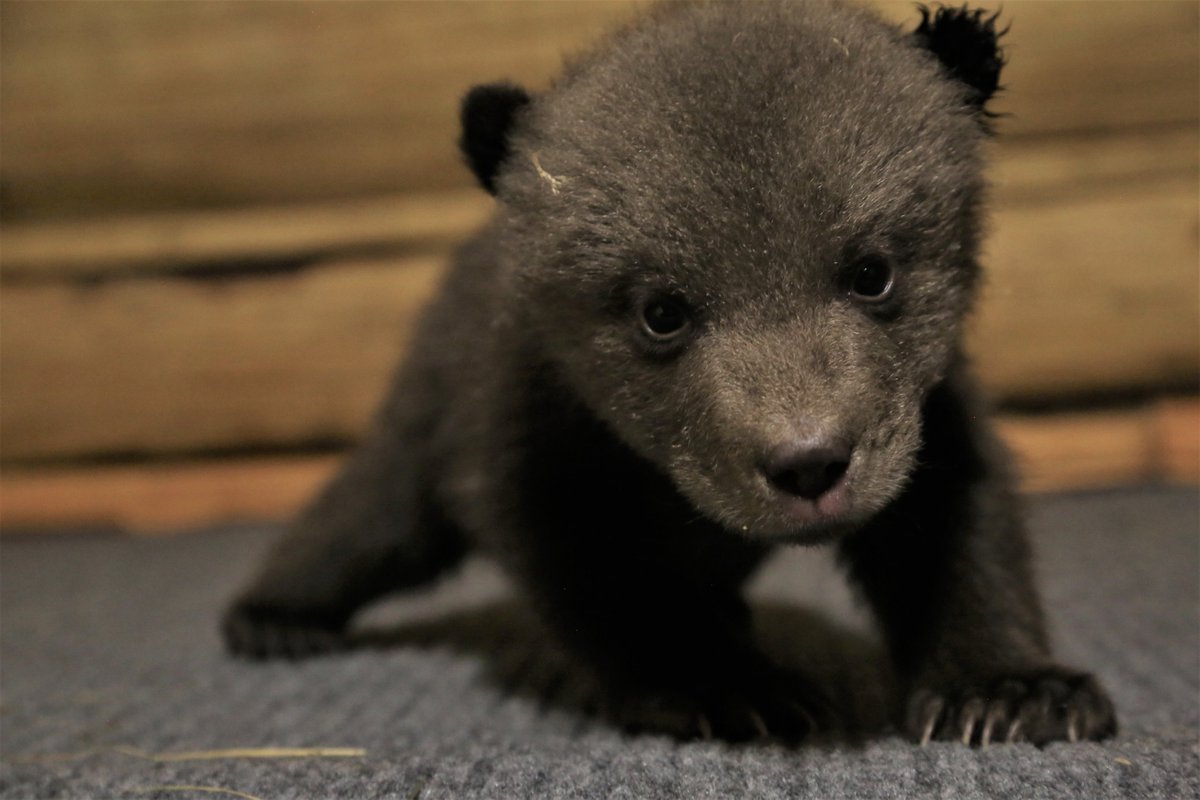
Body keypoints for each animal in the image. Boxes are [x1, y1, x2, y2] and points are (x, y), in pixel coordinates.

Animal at [224, 0, 1117, 746]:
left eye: (873, 273)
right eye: (662, 311)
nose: (809, 464)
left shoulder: (921, 412)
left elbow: (957, 528)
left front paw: (1011, 690)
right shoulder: (539, 430)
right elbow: (608, 578)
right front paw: (728, 688)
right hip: (426, 408)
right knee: (367, 521)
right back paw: (273, 617)